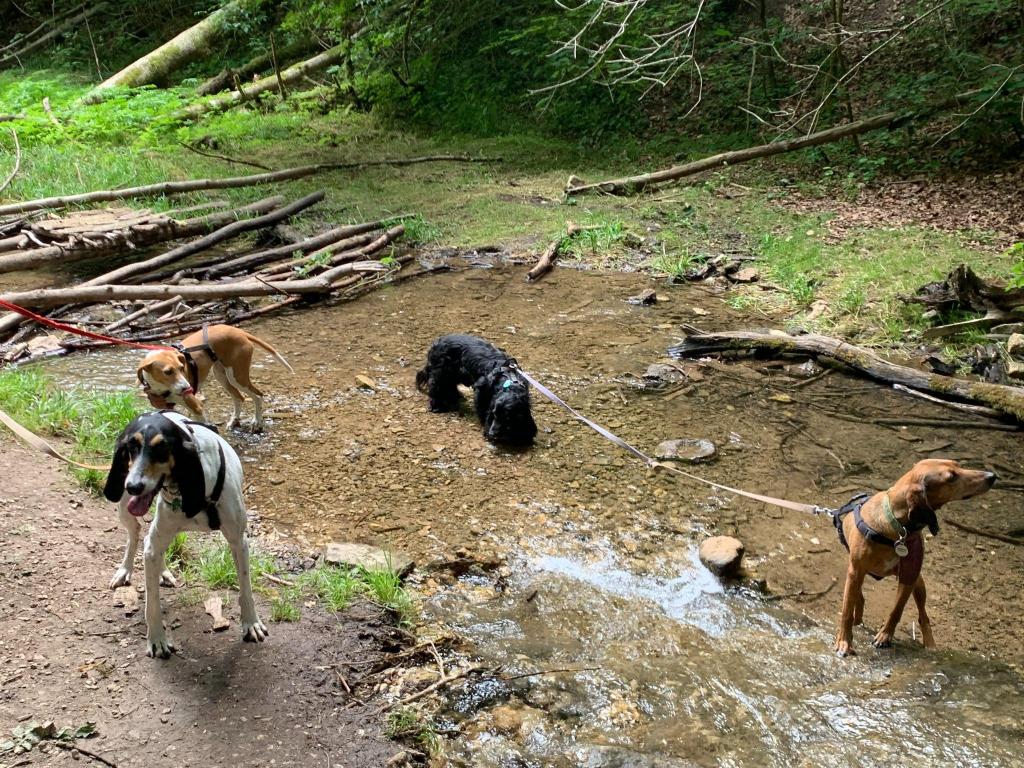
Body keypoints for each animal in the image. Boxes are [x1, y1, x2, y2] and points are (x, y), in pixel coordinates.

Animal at [104, 411, 268, 659]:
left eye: (162, 448)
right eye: (131, 447)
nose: (133, 486)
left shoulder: (239, 541)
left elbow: (246, 587)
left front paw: (251, 623)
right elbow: (152, 603)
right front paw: (157, 639)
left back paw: (162, 572)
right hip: (125, 509)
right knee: (137, 535)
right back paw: (125, 570)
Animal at [137, 324, 293, 431]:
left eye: (182, 368)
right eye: (168, 372)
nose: (187, 388)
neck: (162, 388)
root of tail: (238, 331)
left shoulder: (197, 407)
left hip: (237, 377)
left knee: (258, 395)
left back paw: (257, 423)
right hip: (222, 376)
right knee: (239, 397)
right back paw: (234, 421)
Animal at [832, 459, 995, 657]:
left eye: (957, 464)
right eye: (951, 477)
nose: (992, 476)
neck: (895, 528)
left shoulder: (909, 576)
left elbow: (896, 610)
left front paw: (885, 636)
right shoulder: (855, 572)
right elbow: (846, 612)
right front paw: (844, 642)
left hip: (920, 583)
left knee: (923, 615)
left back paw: (930, 643)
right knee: (858, 599)